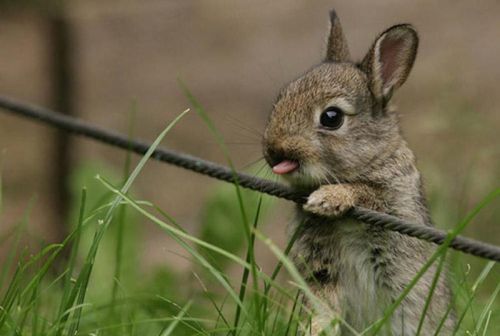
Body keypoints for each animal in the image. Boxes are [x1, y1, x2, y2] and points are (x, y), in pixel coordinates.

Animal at [264, 9, 456, 334]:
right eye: (281, 97)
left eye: (331, 117)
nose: (273, 150)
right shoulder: (322, 270)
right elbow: (323, 306)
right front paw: (314, 329)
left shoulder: (395, 203)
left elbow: (365, 192)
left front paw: (327, 199)